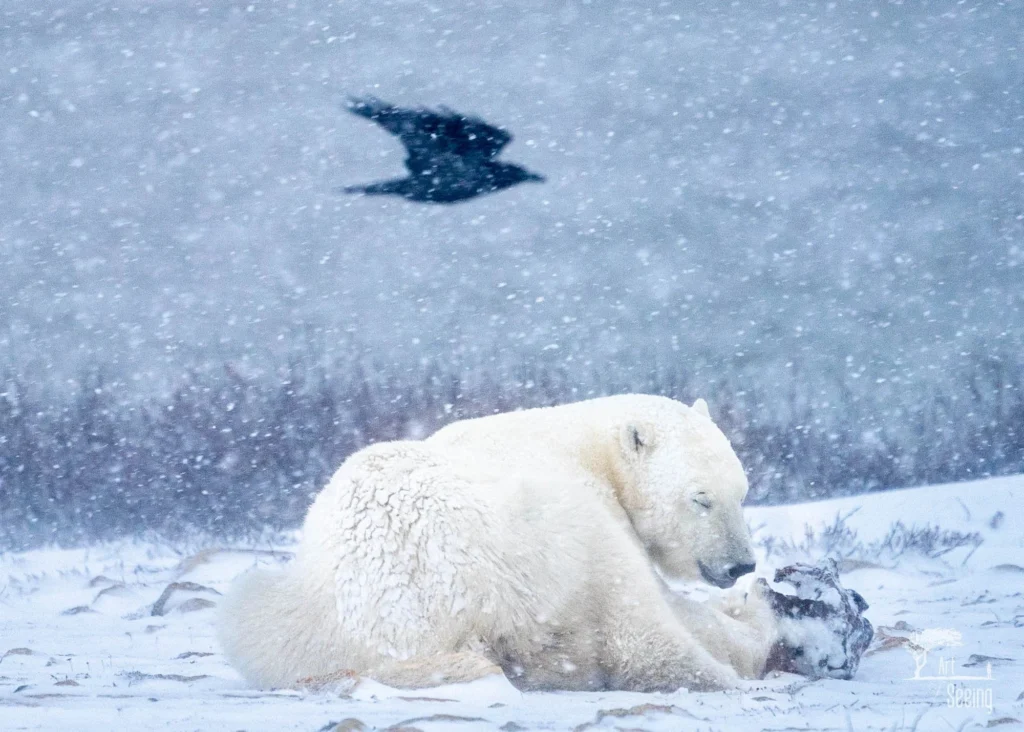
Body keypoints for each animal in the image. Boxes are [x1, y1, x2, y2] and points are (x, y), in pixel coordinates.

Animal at [218, 394, 781, 692]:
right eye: (701, 499)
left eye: (742, 492)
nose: (740, 565)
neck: (582, 442)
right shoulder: (597, 503)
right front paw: (742, 606)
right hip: (541, 537)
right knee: (636, 626)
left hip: (290, 615)